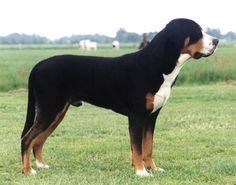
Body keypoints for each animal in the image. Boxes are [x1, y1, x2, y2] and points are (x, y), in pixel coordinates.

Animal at [21, 18, 218, 176]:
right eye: (196, 32)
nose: (216, 41)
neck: (157, 64)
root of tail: (40, 64)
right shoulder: (137, 117)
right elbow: (137, 148)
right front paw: (141, 172)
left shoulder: (151, 117)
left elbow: (148, 147)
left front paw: (153, 168)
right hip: (50, 110)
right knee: (27, 139)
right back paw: (28, 170)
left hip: (57, 113)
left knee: (38, 141)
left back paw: (41, 165)